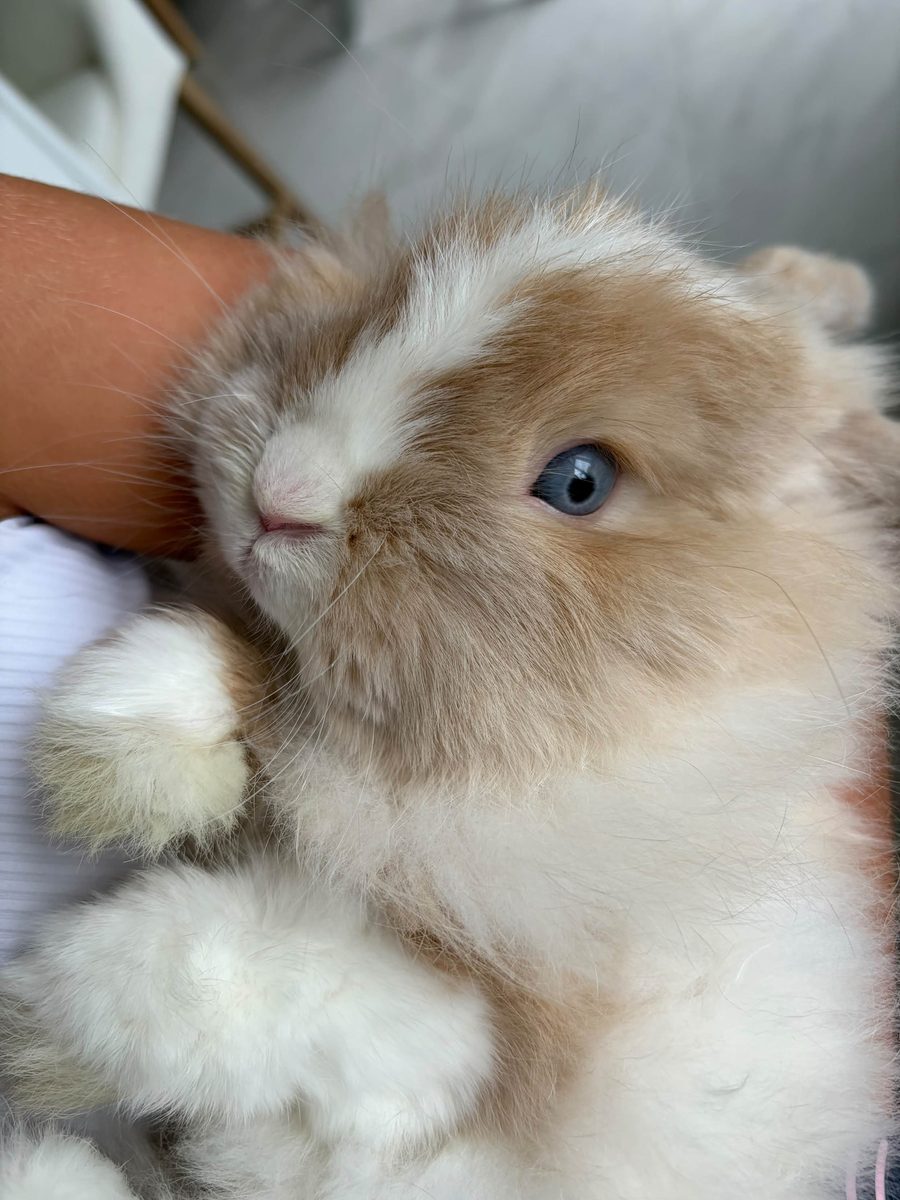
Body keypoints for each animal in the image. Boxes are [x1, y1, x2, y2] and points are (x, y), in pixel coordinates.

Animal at [1, 185, 898, 1199]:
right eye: (379, 312)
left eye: (579, 482)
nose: (283, 488)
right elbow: (231, 667)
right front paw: (106, 759)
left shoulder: (463, 1038)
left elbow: (225, 960)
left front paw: (40, 1016)